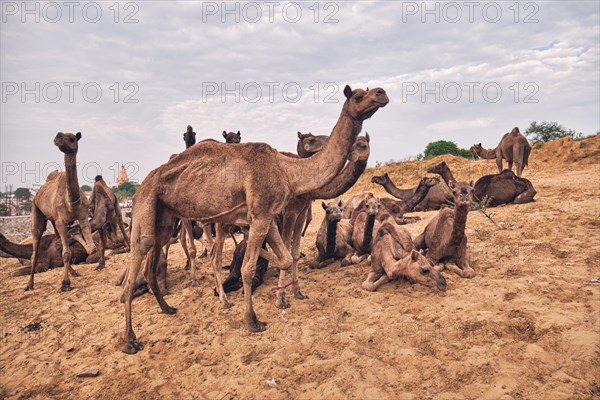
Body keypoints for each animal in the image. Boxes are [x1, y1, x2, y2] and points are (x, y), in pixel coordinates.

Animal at [25, 133, 95, 292]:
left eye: (72, 139)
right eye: (61, 136)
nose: (58, 137)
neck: (71, 202)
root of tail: (38, 193)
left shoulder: (83, 217)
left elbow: (91, 248)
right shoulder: (62, 222)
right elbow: (67, 252)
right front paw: (65, 284)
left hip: (54, 220)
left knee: (59, 244)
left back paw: (74, 273)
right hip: (36, 210)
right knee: (35, 247)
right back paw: (29, 285)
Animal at [122, 85, 390, 354]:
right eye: (358, 96)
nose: (381, 93)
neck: (289, 171)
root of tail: (142, 185)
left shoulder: (268, 215)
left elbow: (286, 257)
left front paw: (287, 290)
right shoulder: (266, 214)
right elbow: (249, 268)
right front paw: (254, 319)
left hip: (165, 218)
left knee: (162, 252)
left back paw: (168, 307)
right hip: (146, 205)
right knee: (140, 256)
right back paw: (130, 339)